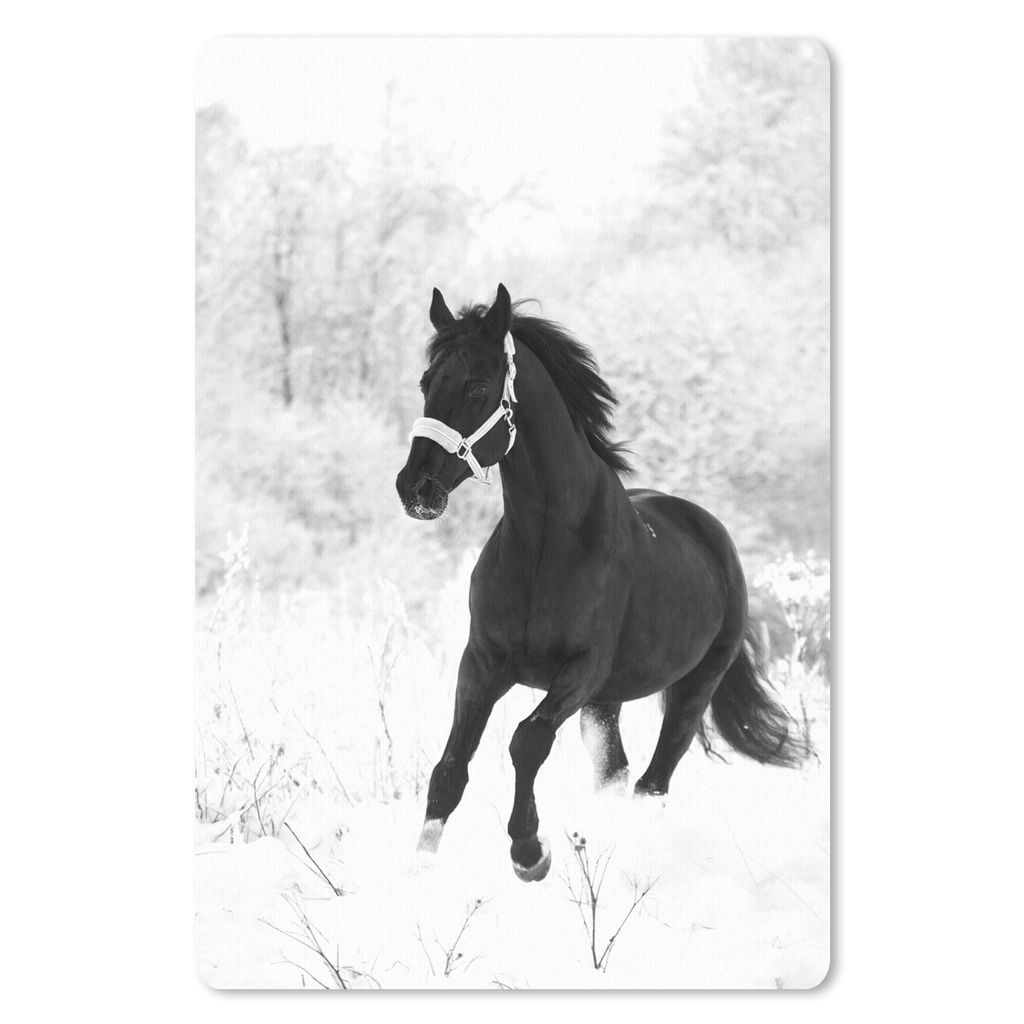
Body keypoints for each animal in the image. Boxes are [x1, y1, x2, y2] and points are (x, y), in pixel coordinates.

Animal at [395, 283, 804, 883]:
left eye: (477, 385)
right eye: (427, 383)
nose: (415, 488)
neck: (546, 548)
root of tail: (715, 537)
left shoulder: (581, 670)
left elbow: (528, 740)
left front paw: (530, 852)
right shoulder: (483, 663)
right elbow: (450, 767)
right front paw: (420, 868)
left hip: (692, 689)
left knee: (651, 783)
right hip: (606, 704)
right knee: (619, 774)